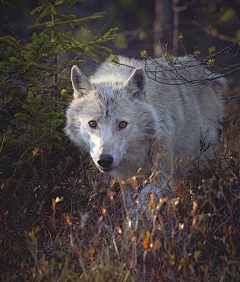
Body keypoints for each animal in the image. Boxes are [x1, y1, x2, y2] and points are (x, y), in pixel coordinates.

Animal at [64, 55, 226, 200]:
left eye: (122, 124)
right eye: (93, 124)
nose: (104, 160)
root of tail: (205, 70)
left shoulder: (162, 175)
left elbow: (141, 203)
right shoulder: (126, 181)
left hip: (199, 165)